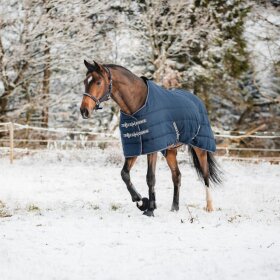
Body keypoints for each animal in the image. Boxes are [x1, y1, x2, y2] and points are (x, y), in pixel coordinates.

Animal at [80, 59, 222, 217]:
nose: (84, 110)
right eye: (85, 81)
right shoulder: (135, 146)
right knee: (177, 176)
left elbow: (150, 178)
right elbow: (124, 174)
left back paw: (209, 207)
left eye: (98, 82)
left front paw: (150, 209)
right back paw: (174, 208)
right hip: (170, 151)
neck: (137, 106)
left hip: (200, 147)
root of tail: (197, 101)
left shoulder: (152, 148)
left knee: (205, 175)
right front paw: (140, 200)